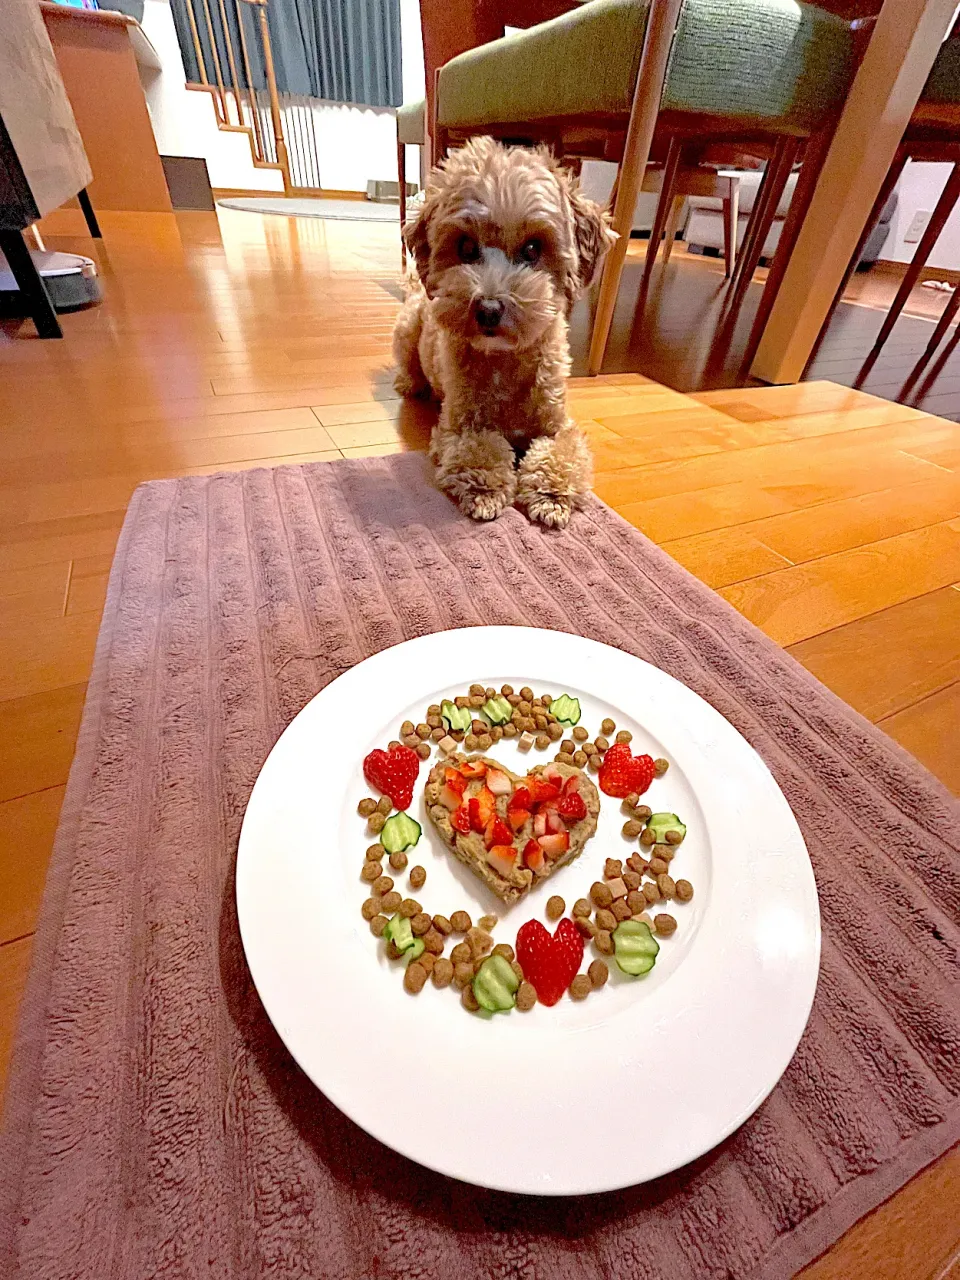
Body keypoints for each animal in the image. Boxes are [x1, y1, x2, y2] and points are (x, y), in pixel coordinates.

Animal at [391, 133, 611, 524]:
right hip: (407, 331)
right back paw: (411, 384)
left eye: (532, 249)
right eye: (465, 247)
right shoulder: (460, 425)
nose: (489, 309)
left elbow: (561, 452)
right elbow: (480, 448)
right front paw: (485, 491)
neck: (504, 360)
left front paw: (551, 494)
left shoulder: (559, 423)